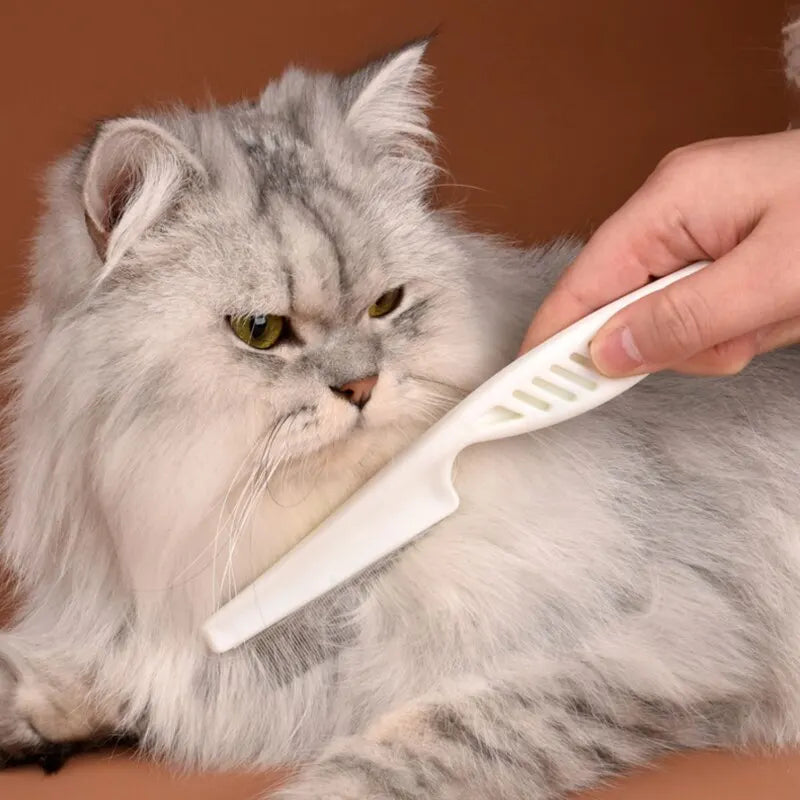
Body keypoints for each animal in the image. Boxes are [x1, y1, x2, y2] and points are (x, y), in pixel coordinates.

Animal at [1, 37, 800, 800]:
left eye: (386, 304)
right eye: (261, 330)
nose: (360, 386)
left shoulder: (628, 653)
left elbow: (395, 759)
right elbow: (62, 673)